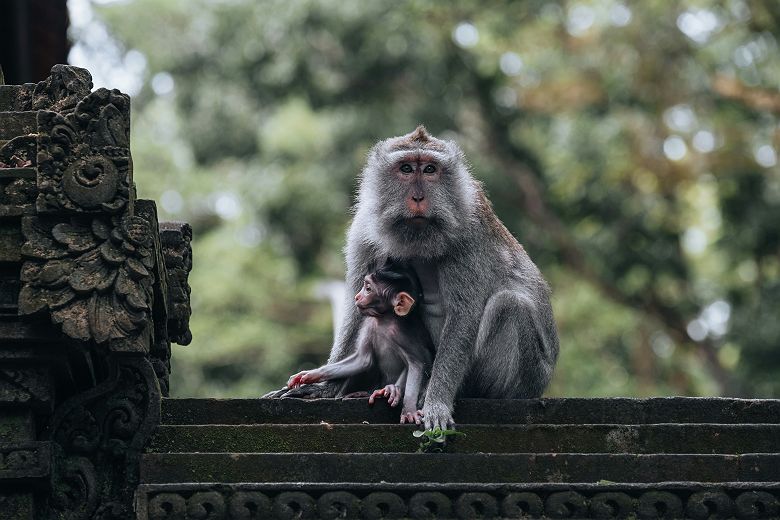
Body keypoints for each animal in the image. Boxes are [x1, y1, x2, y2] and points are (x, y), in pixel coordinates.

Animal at [286, 263, 433, 424]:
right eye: (365, 286)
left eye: (368, 289)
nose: (357, 296)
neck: (384, 320)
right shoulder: (369, 325)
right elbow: (363, 360)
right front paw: (309, 375)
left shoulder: (405, 334)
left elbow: (418, 363)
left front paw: (407, 408)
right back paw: (361, 393)